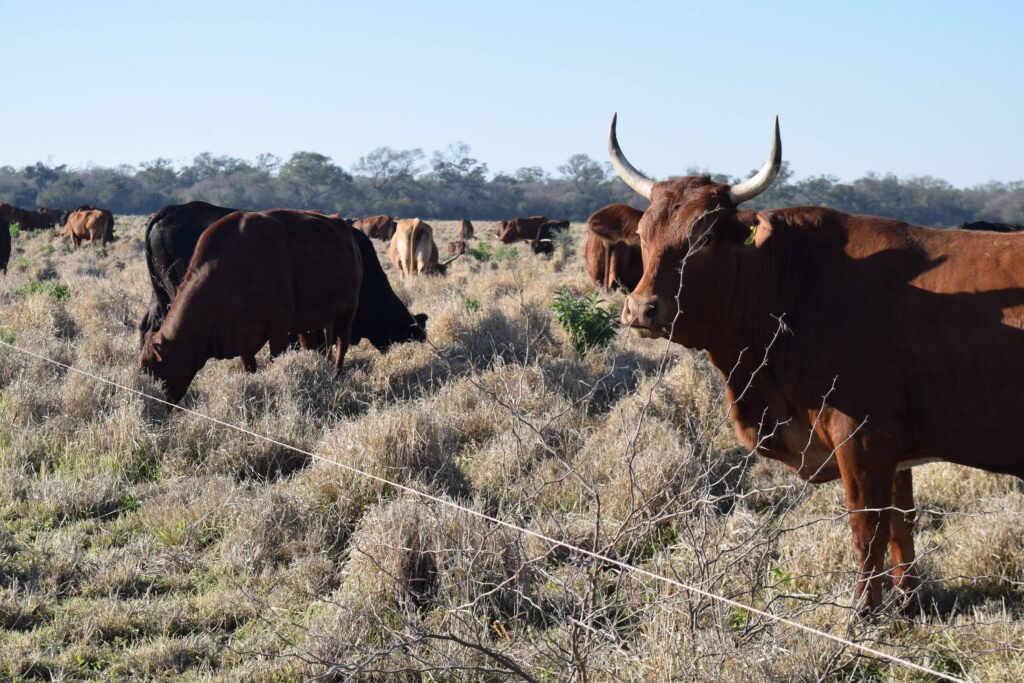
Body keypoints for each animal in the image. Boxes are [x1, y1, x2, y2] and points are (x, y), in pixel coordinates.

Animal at [138, 210, 363, 403]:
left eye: (151, 366)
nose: (148, 396)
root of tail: (342, 226)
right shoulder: (241, 340)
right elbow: (248, 367)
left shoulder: (278, 327)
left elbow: (276, 358)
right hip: (311, 322)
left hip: (348, 310)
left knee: (342, 343)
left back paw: (336, 374)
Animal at [607, 113, 1024, 613]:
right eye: (644, 236)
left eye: (703, 238)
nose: (641, 309)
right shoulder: (896, 450)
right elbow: (901, 525)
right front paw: (908, 601)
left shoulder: (863, 436)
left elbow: (868, 528)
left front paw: (864, 614)